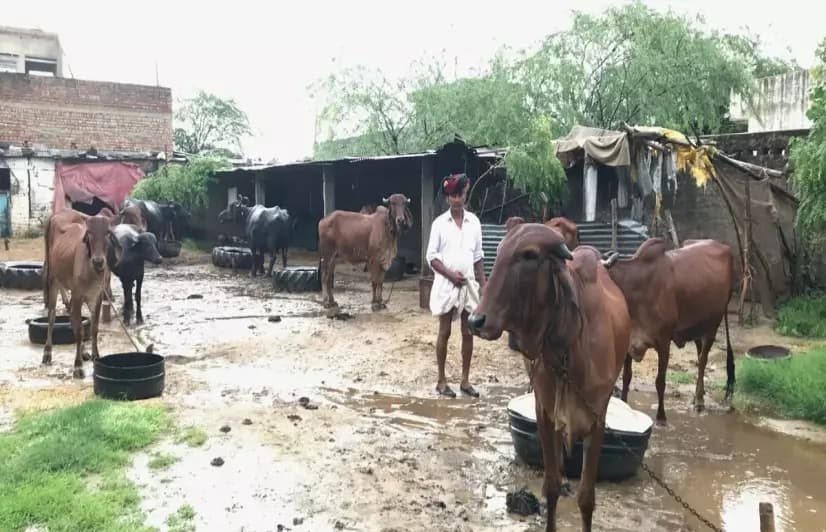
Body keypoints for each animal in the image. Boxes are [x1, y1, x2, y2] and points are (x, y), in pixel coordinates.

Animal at [41, 208, 120, 378]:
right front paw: (77, 366)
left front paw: (95, 355)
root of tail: (57, 213)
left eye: (107, 232)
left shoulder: (97, 296)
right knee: (52, 316)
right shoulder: (77, 295)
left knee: (71, 317)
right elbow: (79, 330)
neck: (92, 271)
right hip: (52, 279)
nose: (98, 261)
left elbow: (94, 327)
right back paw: (47, 352)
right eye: (89, 232)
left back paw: (83, 352)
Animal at [466, 222, 628, 528]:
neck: (569, 353)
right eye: (500, 250)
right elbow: (550, 487)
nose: (475, 320)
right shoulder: (544, 412)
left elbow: (587, 498)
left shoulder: (598, 417)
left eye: (529, 255)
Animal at [600, 237, 732, 424]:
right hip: (696, 328)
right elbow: (627, 377)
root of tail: (723, 246)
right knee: (700, 356)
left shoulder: (664, 342)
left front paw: (661, 417)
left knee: (703, 361)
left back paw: (699, 401)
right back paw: (696, 397)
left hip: (712, 326)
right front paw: (625, 404)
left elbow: (660, 381)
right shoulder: (629, 343)